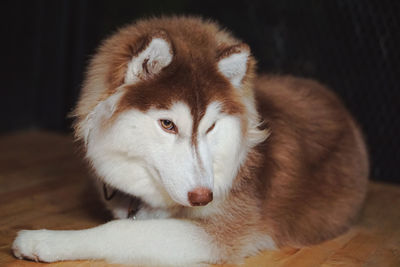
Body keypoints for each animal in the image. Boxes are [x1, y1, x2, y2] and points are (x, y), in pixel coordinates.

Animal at [12, 15, 368, 266]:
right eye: (168, 124)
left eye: (211, 127)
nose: (202, 197)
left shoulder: (221, 232)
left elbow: (124, 230)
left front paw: (44, 240)